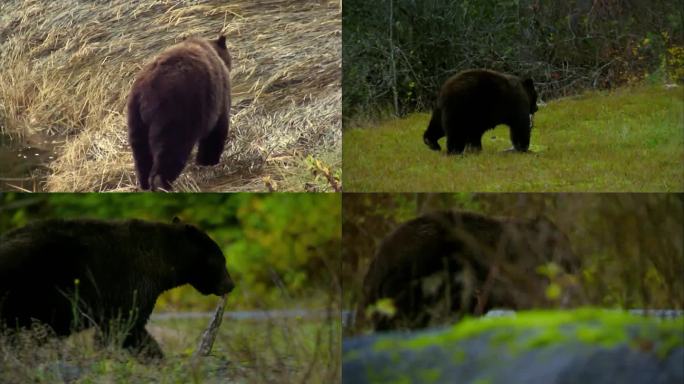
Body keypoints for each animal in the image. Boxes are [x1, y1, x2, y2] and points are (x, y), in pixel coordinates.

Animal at [127, 35, 232, 190]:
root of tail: (145, 93)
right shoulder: (218, 97)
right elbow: (217, 131)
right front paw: (208, 161)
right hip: (176, 114)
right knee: (171, 151)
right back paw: (162, 184)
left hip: (136, 119)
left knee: (141, 154)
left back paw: (145, 184)